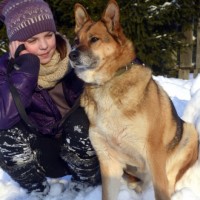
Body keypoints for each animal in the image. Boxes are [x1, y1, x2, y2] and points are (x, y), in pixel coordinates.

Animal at [69, 0, 198, 199]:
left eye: (94, 39)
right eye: (76, 40)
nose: (72, 54)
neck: (107, 82)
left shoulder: (154, 155)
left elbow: (162, 191)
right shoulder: (108, 161)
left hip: (189, 133)